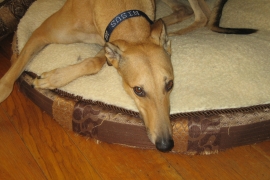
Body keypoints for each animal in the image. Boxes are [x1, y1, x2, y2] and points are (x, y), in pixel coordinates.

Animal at [0, 0, 258, 152]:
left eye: (170, 85)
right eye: (138, 90)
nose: (166, 144)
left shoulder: (108, 43)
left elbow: (95, 60)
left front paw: (54, 77)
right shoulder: (43, 32)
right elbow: (14, 72)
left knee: (199, 13)